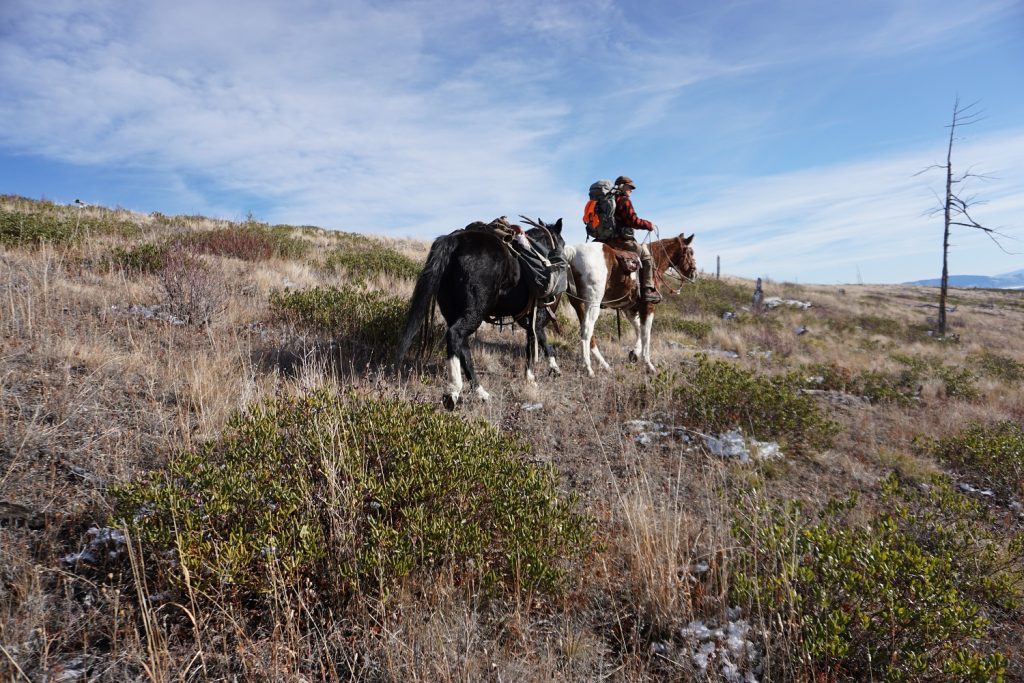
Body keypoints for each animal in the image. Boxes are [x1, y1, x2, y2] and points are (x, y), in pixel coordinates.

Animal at [561, 233, 696, 374]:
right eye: (690, 252)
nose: (694, 273)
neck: (656, 259)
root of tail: (573, 252)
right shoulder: (648, 306)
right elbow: (646, 334)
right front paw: (648, 364)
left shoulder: (629, 309)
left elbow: (639, 330)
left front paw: (634, 353)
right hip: (593, 303)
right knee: (587, 330)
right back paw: (588, 368)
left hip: (579, 305)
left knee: (588, 333)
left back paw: (605, 365)